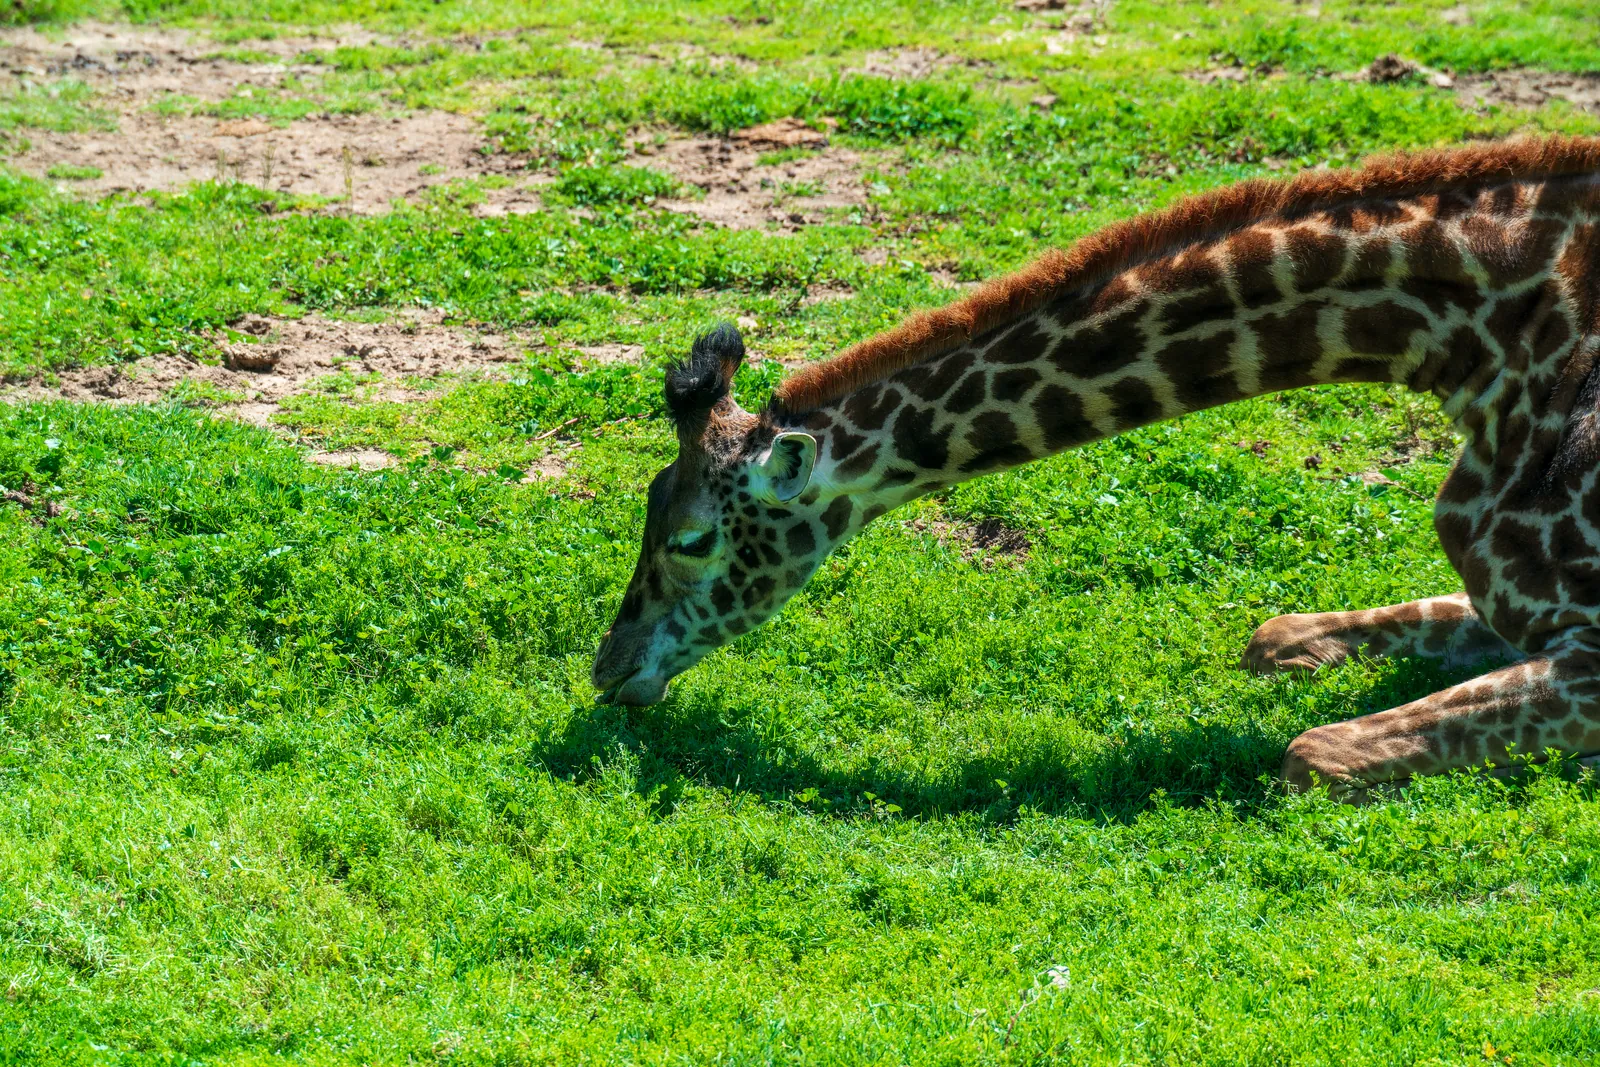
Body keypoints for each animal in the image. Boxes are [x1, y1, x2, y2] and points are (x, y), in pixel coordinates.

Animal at [592, 136, 1600, 797]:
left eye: (691, 538)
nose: (609, 669)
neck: (1485, 350)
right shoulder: (1510, 605)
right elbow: (1275, 632)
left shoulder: (1587, 650)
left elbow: (1310, 752)